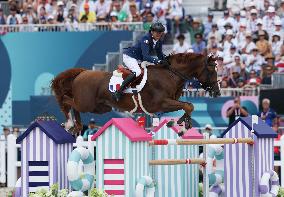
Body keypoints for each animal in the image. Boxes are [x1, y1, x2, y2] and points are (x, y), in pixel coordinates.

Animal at [51, 53, 222, 133]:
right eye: (212, 70)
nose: (217, 92)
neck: (170, 74)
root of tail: (81, 73)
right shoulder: (160, 104)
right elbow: (188, 105)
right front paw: (182, 127)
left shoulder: (167, 104)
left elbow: (187, 106)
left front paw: (180, 123)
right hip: (87, 103)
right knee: (66, 100)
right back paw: (69, 123)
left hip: (100, 107)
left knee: (74, 105)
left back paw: (77, 126)